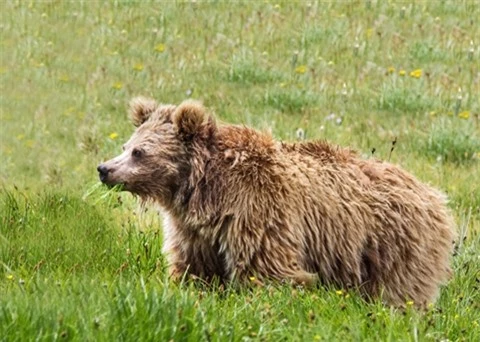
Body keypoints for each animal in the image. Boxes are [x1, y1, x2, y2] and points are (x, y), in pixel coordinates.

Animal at [96, 97, 454, 308]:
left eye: (139, 152)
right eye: (126, 145)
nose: (104, 169)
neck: (204, 190)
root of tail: (434, 194)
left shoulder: (257, 210)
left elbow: (267, 269)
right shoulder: (194, 229)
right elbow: (194, 268)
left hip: (395, 244)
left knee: (401, 290)